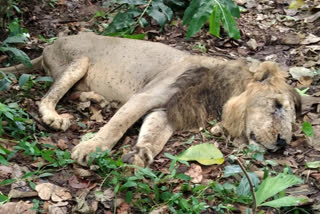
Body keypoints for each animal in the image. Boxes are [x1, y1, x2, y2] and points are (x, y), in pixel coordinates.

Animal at [0, 32, 300, 167]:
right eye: (277, 106)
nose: (283, 143)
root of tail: (49, 45)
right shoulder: (146, 95)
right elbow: (116, 126)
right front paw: (91, 148)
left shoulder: (167, 109)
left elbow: (155, 135)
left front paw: (141, 154)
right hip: (79, 60)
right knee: (48, 96)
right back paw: (54, 117)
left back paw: (98, 100)